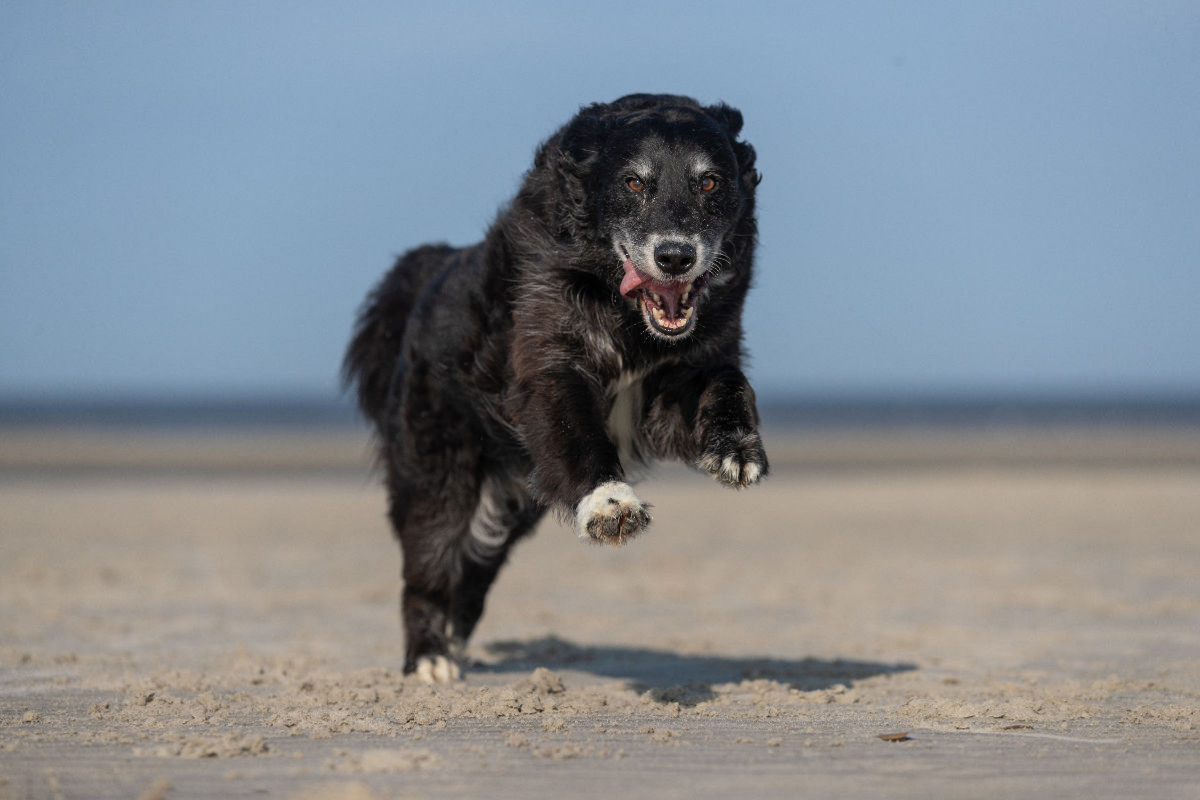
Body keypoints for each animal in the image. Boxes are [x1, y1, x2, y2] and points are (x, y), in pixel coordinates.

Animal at [343, 92, 768, 681]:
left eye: (708, 182)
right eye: (634, 183)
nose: (676, 257)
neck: (623, 309)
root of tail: (428, 273)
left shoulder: (674, 383)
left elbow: (728, 379)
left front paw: (735, 447)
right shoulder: (549, 364)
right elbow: (578, 432)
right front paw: (609, 503)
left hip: (516, 498)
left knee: (476, 566)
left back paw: (455, 637)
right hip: (438, 470)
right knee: (428, 560)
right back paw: (429, 657)